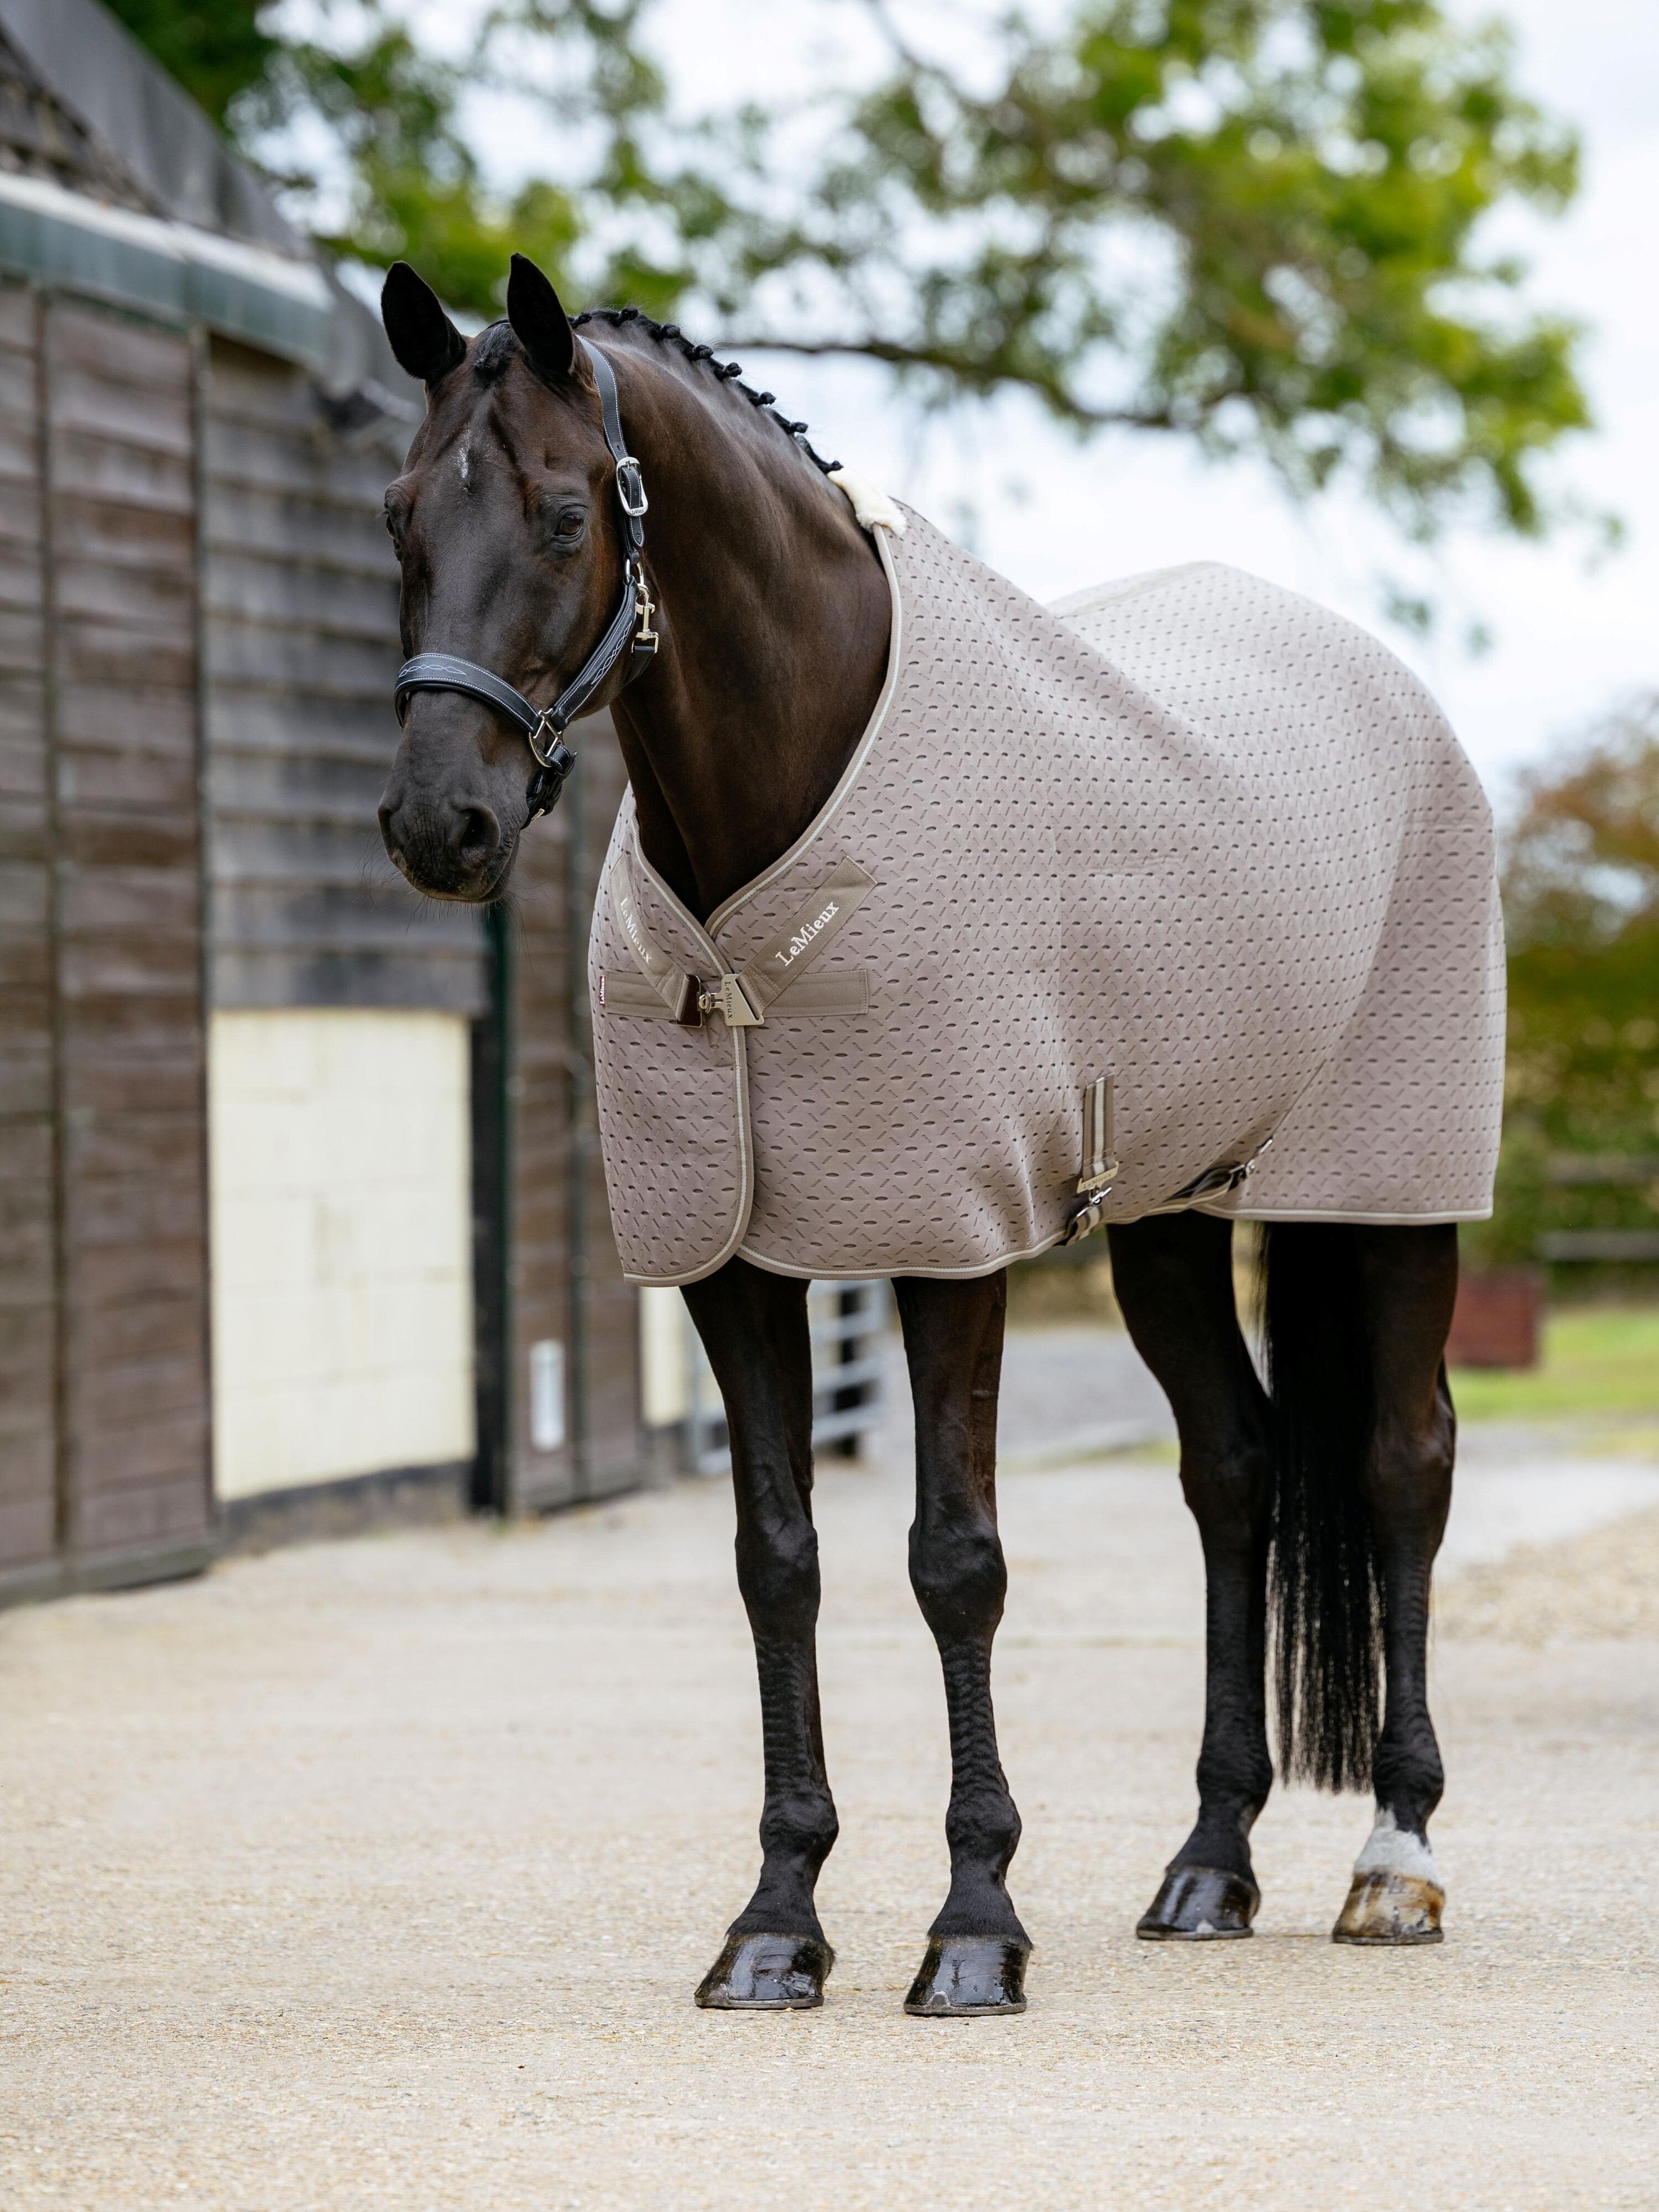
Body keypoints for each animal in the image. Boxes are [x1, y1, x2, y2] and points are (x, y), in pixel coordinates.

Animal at [375, 251, 1484, 2017]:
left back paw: (1395, 1859)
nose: (439, 823)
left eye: (559, 513)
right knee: (1233, 1474)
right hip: (1168, 1218)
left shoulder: (945, 1237)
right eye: (400, 513)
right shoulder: (732, 1258)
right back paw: (1210, 1862)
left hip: (1386, 1198)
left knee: (1400, 1466)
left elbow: (954, 1558)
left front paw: (973, 1926)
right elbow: (777, 1559)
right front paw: (775, 1922)